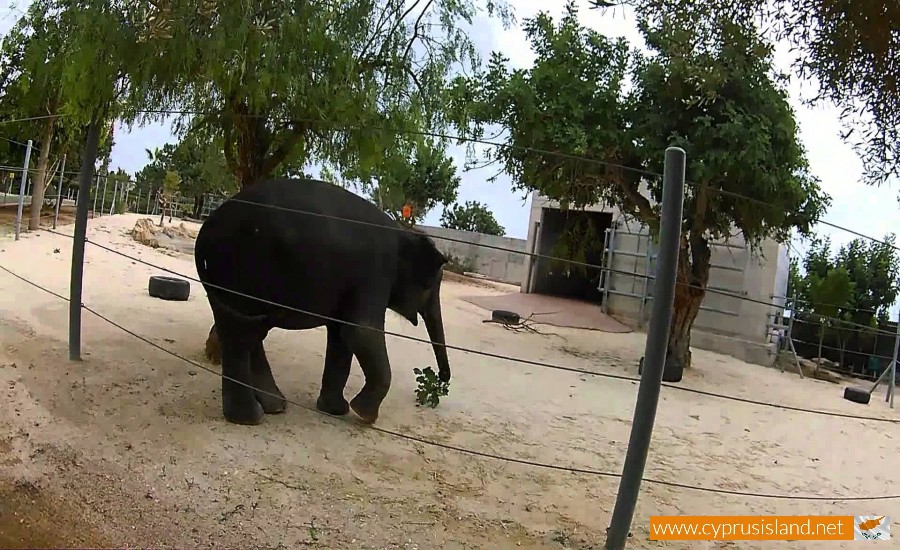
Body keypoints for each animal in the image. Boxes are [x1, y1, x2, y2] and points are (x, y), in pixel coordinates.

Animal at [195, 179, 450, 430]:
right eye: (432, 285)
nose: (442, 379)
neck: (402, 232)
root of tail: (205, 231)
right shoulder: (375, 274)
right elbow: (361, 332)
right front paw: (364, 415)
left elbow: (341, 335)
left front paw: (336, 410)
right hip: (239, 269)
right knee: (242, 331)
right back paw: (251, 418)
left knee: (245, 329)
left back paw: (273, 407)